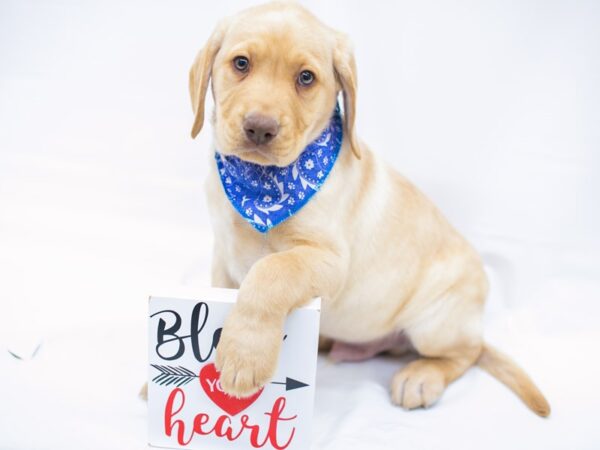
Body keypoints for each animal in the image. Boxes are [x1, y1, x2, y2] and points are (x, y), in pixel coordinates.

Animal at [190, 0, 552, 416]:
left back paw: (421, 377)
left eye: (306, 78)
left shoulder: (331, 262)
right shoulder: (223, 254)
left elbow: (272, 271)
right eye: (241, 64)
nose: (260, 128)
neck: (261, 186)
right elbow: (226, 289)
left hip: (435, 322)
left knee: (467, 353)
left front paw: (243, 354)